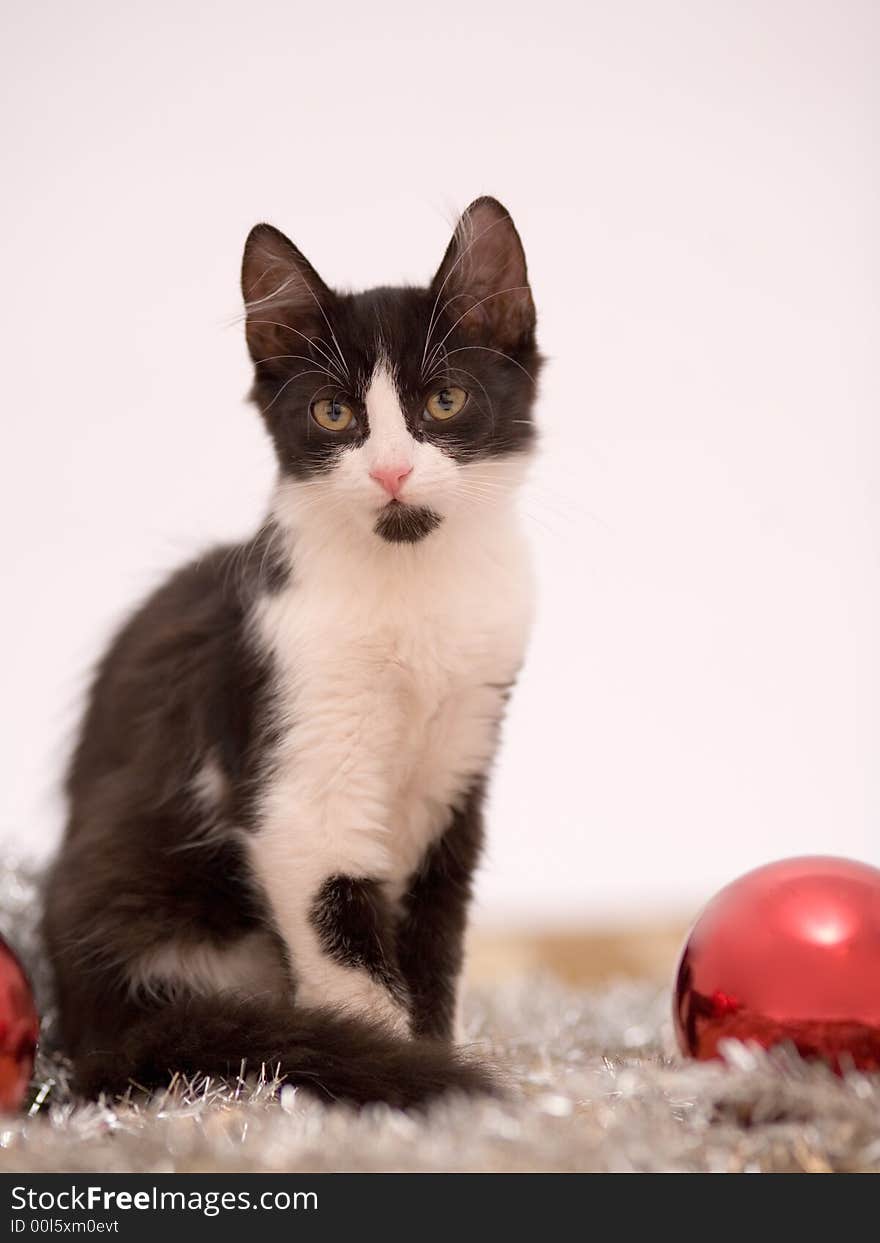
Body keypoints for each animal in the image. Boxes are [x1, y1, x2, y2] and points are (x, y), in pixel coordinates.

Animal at [46, 196, 541, 1108]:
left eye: (446, 399)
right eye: (333, 415)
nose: (390, 472)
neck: (410, 585)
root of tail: (88, 1037)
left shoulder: (458, 769)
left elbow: (435, 938)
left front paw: (432, 1047)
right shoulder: (299, 777)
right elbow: (345, 942)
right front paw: (399, 1069)